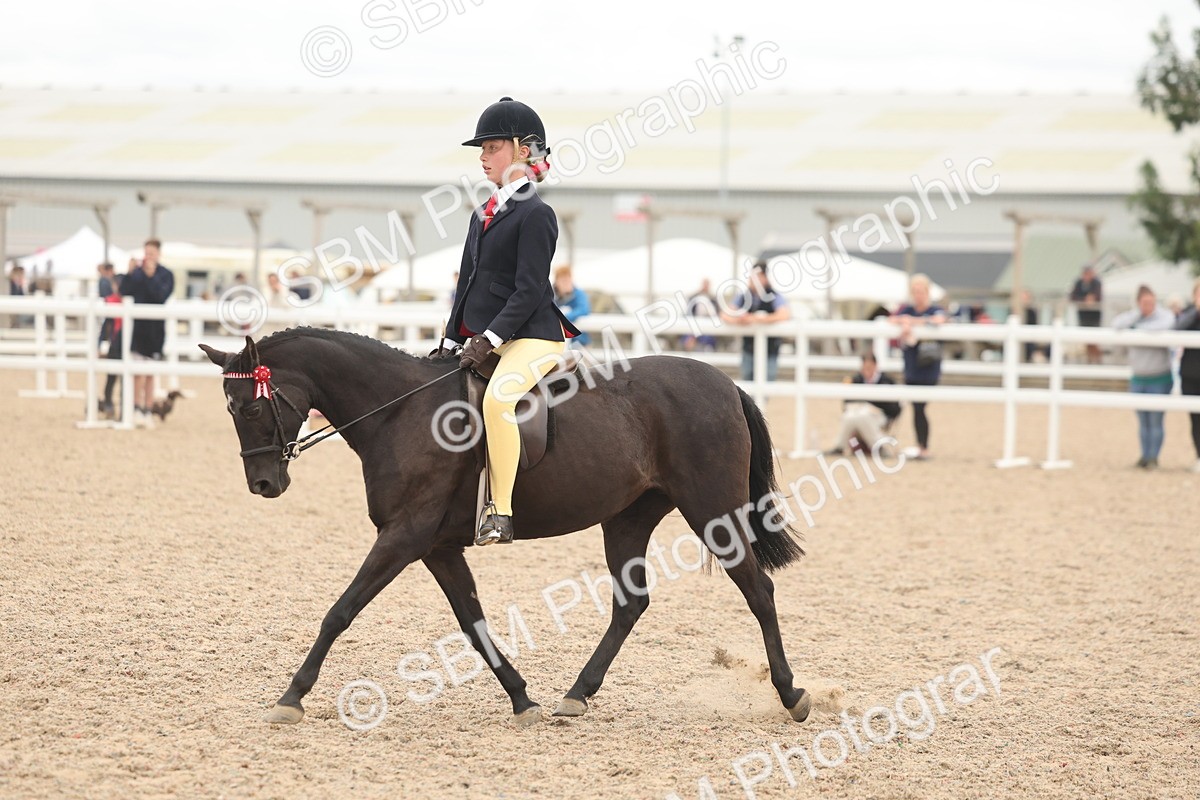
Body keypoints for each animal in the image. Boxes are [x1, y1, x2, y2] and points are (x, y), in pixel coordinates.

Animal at [199, 327, 812, 727]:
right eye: (228, 409)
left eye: (250, 408)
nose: (263, 484)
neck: (399, 412)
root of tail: (725, 384)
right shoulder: (438, 547)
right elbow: (472, 624)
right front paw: (522, 699)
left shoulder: (404, 536)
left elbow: (340, 611)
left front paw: (291, 697)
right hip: (627, 519)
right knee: (631, 604)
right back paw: (576, 694)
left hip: (711, 510)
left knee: (758, 590)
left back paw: (791, 694)